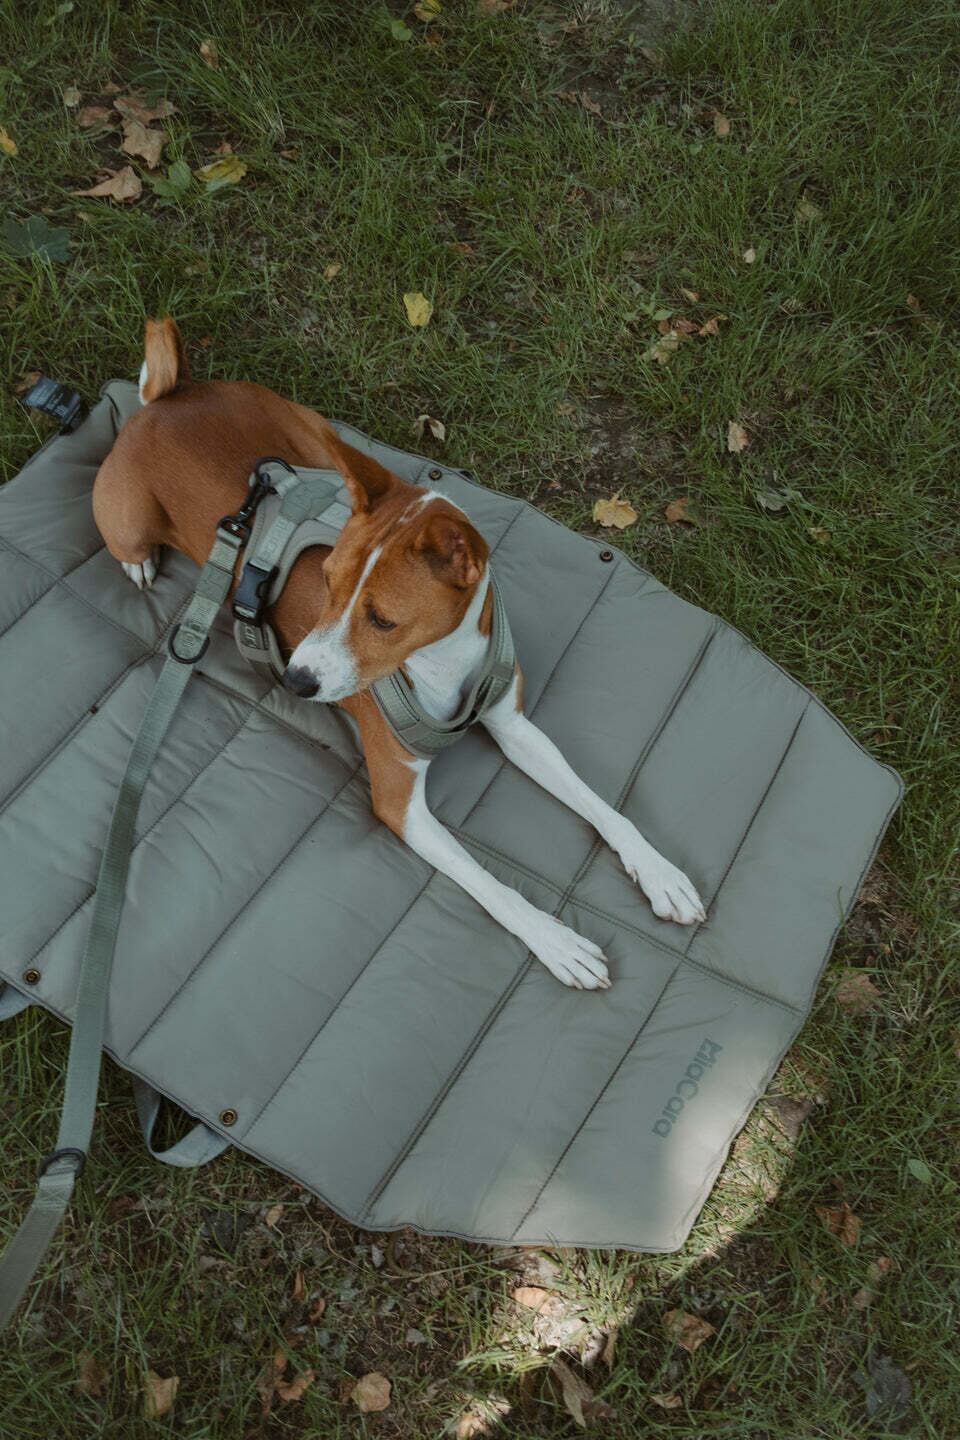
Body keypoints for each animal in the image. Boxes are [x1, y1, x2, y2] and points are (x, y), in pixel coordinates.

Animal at [92, 318, 705, 990]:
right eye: (325, 581)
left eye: (383, 620)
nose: (295, 681)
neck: (443, 665)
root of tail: (164, 403)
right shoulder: (400, 803)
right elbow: (495, 887)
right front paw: (556, 940)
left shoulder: (514, 726)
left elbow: (601, 806)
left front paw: (659, 872)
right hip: (128, 518)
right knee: (128, 540)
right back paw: (139, 563)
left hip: (314, 432)